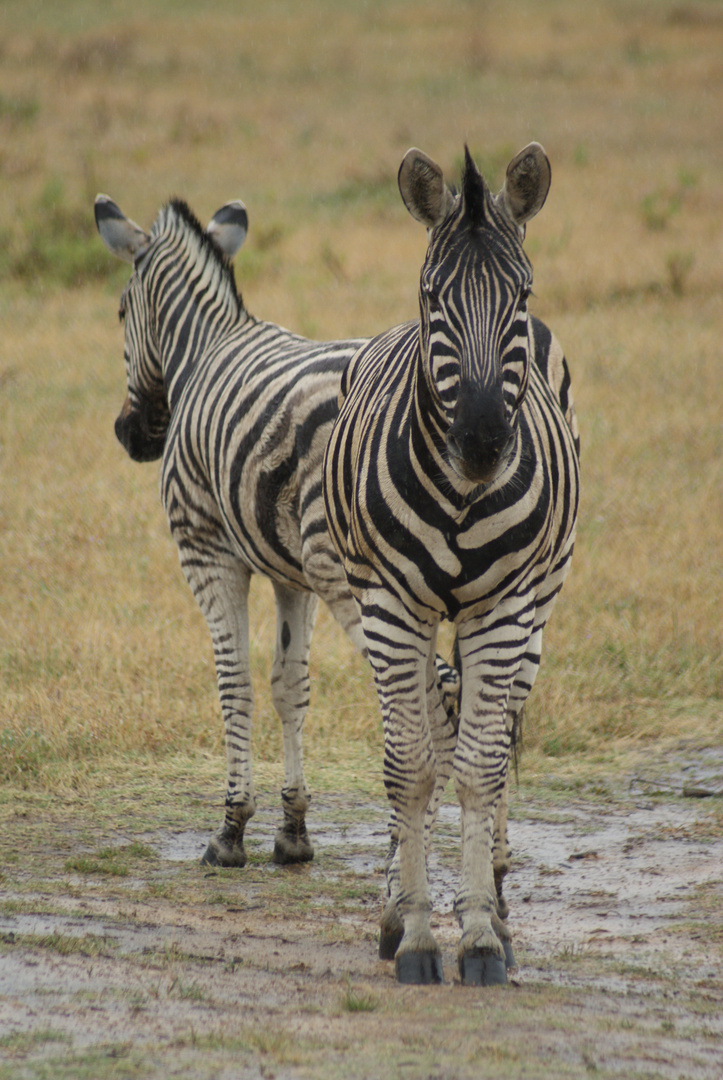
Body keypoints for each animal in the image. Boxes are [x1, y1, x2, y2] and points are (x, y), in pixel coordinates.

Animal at [95, 192, 460, 868]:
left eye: (121, 311)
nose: (132, 436)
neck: (204, 348)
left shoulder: (208, 551)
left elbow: (234, 680)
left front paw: (231, 829)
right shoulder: (292, 574)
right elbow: (290, 684)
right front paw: (293, 830)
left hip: (365, 583)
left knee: (432, 703)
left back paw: (410, 861)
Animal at [322, 145, 579, 989]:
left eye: (520, 294)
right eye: (433, 297)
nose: (480, 441)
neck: (462, 498)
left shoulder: (502, 612)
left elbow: (477, 768)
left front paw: (477, 937)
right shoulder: (391, 610)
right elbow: (412, 768)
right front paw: (414, 935)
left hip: (534, 611)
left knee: (489, 741)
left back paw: (491, 900)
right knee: (427, 733)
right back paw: (399, 906)